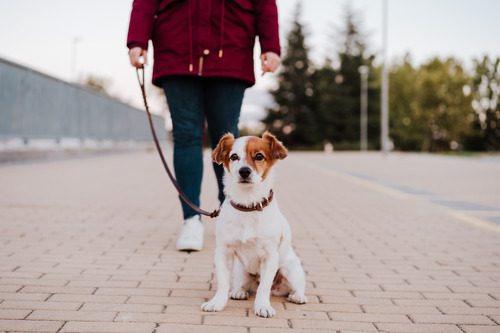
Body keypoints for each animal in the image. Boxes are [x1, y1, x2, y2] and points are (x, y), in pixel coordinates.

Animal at [201, 132, 306, 316]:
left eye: (259, 156)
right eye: (234, 157)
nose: (244, 171)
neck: (248, 205)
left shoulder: (270, 256)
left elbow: (264, 287)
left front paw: (263, 306)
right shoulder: (223, 251)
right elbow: (223, 282)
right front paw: (217, 302)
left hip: (290, 269)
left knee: (294, 286)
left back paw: (297, 296)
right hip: (241, 270)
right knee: (243, 284)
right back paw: (239, 291)